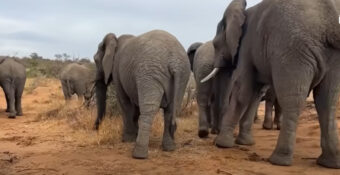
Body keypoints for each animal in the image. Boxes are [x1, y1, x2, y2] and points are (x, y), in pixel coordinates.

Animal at [94, 29, 190, 159]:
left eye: (95, 60)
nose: (95, 128)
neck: (115, 41)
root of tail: (174, 62)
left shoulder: (117, 71)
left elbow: (125, 103)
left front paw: (128, 139)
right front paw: (133, 136)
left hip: (150, 73)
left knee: (149, 109)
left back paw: (139, 154)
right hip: (183, 75)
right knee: (172, 110)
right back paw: (169, 148)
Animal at [202, 0, 340, 168]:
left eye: (215, 45)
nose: (214, 133)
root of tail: (329, 25)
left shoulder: (245, 45)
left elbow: (242, 91)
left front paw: (221, 144)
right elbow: (255, 93)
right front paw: (245, 143)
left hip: (292, 52)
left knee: (292, 101)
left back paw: (279, 160)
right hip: (331, 54)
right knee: (327, 101)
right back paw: (329, 163)